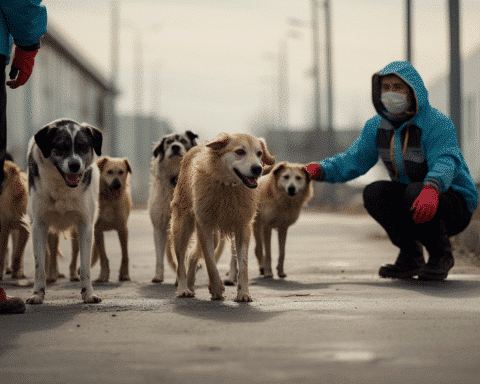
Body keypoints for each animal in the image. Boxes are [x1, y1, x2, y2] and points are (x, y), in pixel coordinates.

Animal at [26, 118, 102, 304]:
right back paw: (52, 275)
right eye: (61, 147)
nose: (75, 165)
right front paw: (37, 293)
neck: (63, 187)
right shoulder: (39, 225)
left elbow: (85, 266)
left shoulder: (85, 226)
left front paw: (88, 294)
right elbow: (39, 265)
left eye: (83, 146)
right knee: (49, 253)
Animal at [147, 130, 198, 284]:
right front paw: (159, 276)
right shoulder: (159, 226)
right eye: (168, 142)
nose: (175, 147)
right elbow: (160, 255)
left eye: (183, 141)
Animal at [170, 134, 274, 302]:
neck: (228, 185)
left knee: (192, 255)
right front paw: (217, 289)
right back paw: (183, 289)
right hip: (182, 226)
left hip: (215, 237)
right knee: (181, 261)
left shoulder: (242, 227)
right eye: (240, 151)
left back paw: (191, 284)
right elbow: (210, 263)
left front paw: (243, 293)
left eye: (259, 153)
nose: (257, 169)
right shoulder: (204, 226)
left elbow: (243, 264)